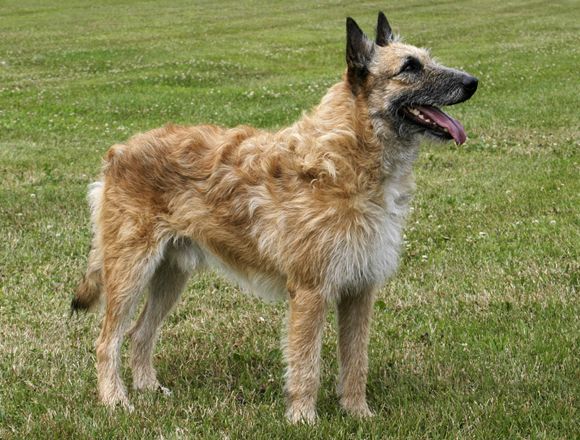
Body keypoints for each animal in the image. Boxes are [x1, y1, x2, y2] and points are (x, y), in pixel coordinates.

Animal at [72, 11, 478, 422]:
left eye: (426, 59)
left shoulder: (359, 289)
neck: (348, 156)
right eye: (410, 67)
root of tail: (118, 151)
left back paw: (148, 388)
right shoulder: (311, 291)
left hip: (170, 274)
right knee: (107, 341)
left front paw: (358, 413)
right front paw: (303, 419)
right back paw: (115, 400)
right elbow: (306, 363)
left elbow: (356, 361)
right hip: (130, 271)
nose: (472, 82)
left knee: (140, 333)